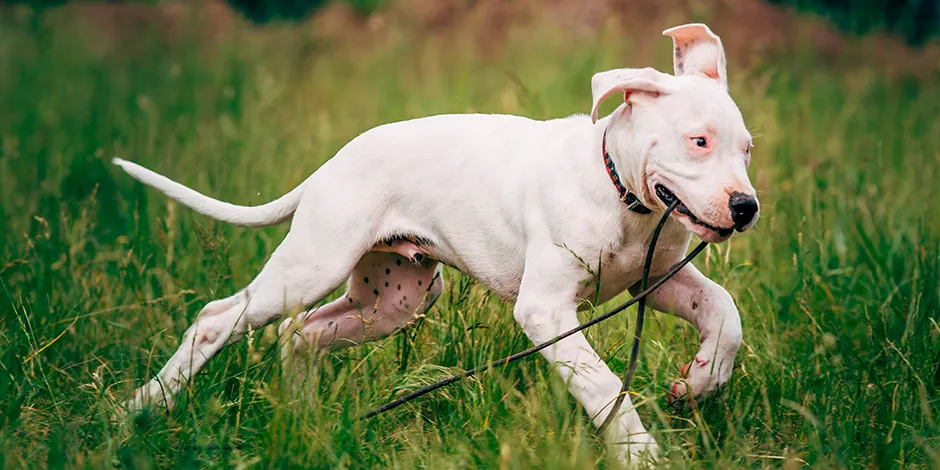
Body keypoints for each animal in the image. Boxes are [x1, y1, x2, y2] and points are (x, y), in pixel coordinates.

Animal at [112, 23, 756, 464]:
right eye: (698, 141)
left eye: (747, 149)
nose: (746, 207)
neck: (621, 192)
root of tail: (330, 165)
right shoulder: (547, 311)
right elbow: (604, 386)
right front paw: (640, 451)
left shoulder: (655, 279)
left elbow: (723, 311)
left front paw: (700, 381)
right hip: (313, 265)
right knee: (218, 319)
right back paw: (139, 410)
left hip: (395, 299)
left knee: (304, 333)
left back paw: (303, 418)